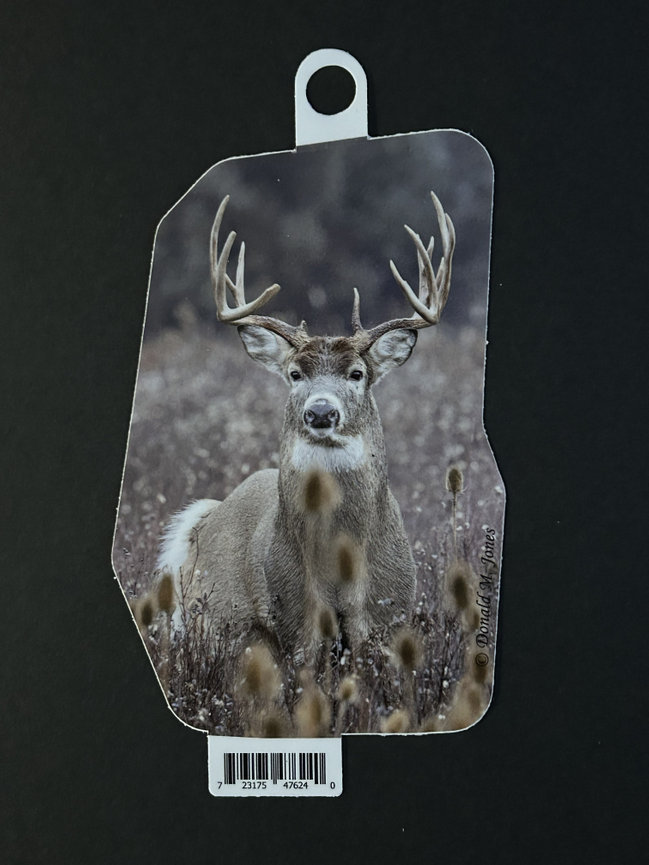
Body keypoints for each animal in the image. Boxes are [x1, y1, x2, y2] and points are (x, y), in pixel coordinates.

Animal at [157, 191, 455, 664]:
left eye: (357, 373)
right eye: (295, 374)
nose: (320, 413)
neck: (339, 569)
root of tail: (204, 518)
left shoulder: (386, 613)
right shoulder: (296, 617)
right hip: (214, 620)